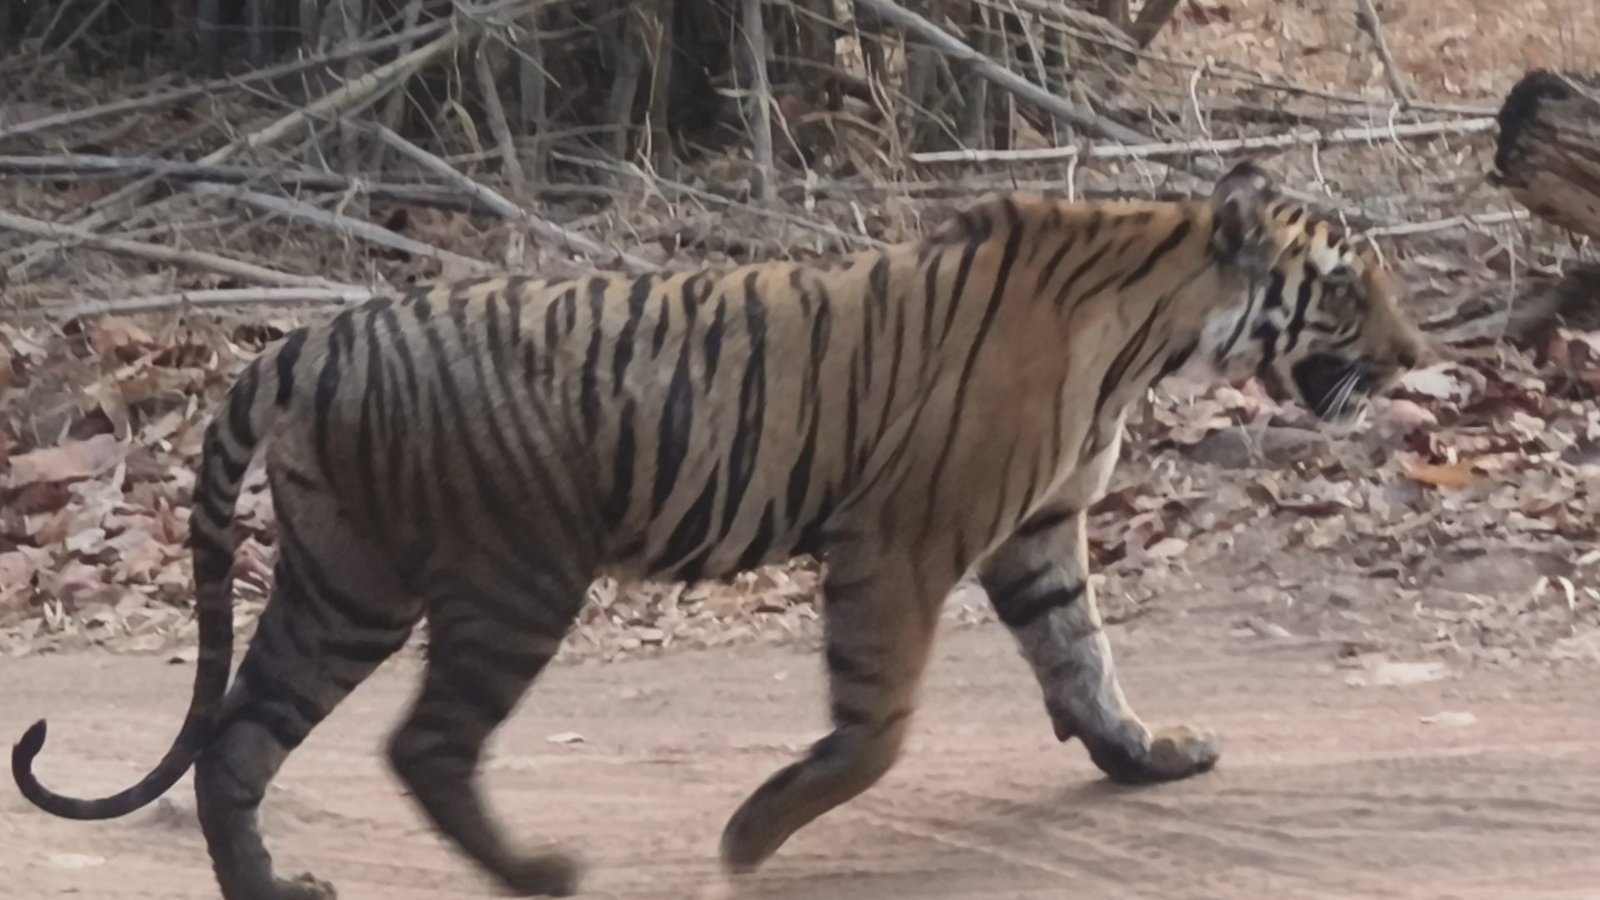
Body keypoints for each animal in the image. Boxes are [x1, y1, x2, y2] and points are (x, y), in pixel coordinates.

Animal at [11, 160, 1426, 899]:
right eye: (1348, 286)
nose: (1419, 357)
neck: (1152, 328)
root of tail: (306, 340)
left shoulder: (1040, 530)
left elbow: (1084, 657)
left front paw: (1148, 757)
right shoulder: (901, 538)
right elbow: (878, 727)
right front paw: (751, 838)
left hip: (342, 580)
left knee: (239, 737)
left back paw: (275, 888)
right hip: (510, 576)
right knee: (421, 744)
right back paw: (541, 872)